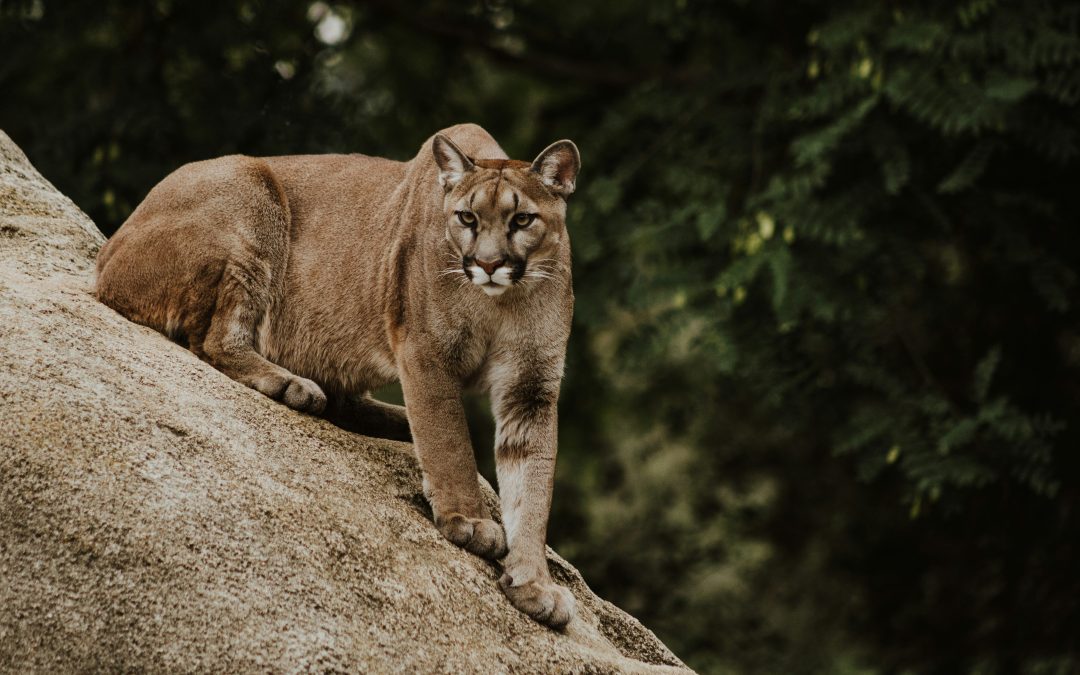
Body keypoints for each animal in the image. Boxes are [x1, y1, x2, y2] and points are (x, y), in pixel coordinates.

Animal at [92, 123, 583, 630]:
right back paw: (292, 386)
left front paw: (534, 584)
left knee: (344, 397)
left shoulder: (531, 388)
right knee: (214, 339)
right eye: (466, 217)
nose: (487, 265)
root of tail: (105, 255)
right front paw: (469, 521)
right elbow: (449, 443)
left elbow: (532, 487)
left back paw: (388, 420)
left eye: (522, 220)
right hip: (251, 195)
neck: (500, 302)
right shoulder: (426, 353)